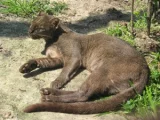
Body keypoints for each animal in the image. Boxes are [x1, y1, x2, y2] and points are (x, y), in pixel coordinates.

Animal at [19, 12, 149, 114]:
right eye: (32, 23)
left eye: (40, 28)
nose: (29, 31)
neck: (52, 40)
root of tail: (146, 69)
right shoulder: (57, 59)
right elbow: (41, 61)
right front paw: (26, 67)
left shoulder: (73, 57)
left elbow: (65, 72)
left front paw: (57, 82)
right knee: (82, 92)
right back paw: (47, 92)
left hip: (101, 72)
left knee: (83, 95)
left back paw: (48, 98)